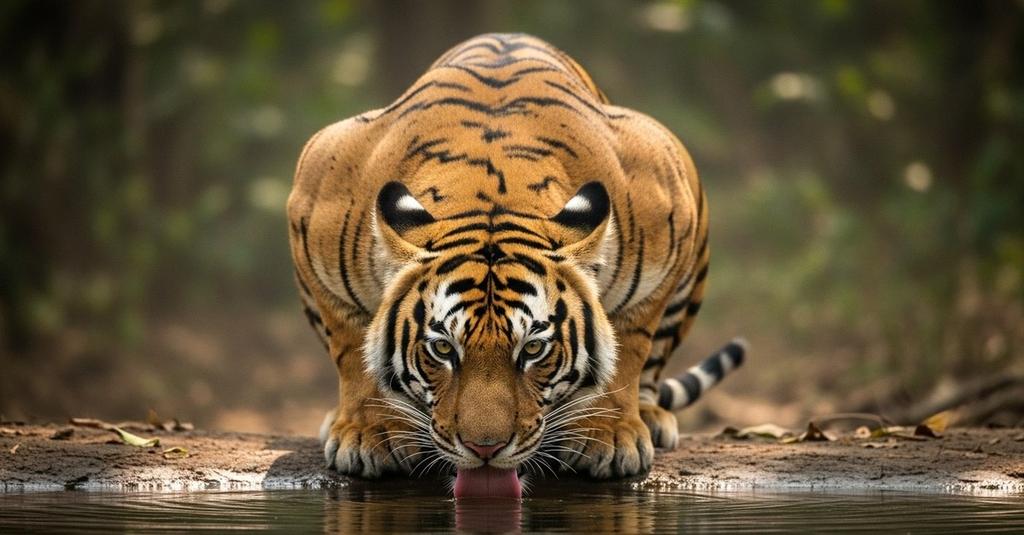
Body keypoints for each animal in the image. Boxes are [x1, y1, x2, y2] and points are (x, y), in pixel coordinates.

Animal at [287, 33, 744, 498]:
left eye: (534, 349)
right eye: (442, 349)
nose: (484, 448)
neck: (491, 194)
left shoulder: (662, 221)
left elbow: (628, 350)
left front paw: (607, 435)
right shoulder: (316, 209)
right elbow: (353, 347)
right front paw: (372, 433)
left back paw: (649, 418)